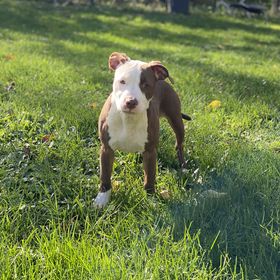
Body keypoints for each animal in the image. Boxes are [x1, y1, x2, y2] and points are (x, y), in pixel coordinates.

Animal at [94, 52, 190, 208]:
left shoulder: (150, 152)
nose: (131, 102)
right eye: (122, 81)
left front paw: (150, 200)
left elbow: (149, 177)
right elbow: (105, 175)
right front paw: (102, 199)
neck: (128, 119)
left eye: (146, 85)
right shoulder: (106, 149)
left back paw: (184, 167)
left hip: (176, 120)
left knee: (179, 144)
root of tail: (162, 80)